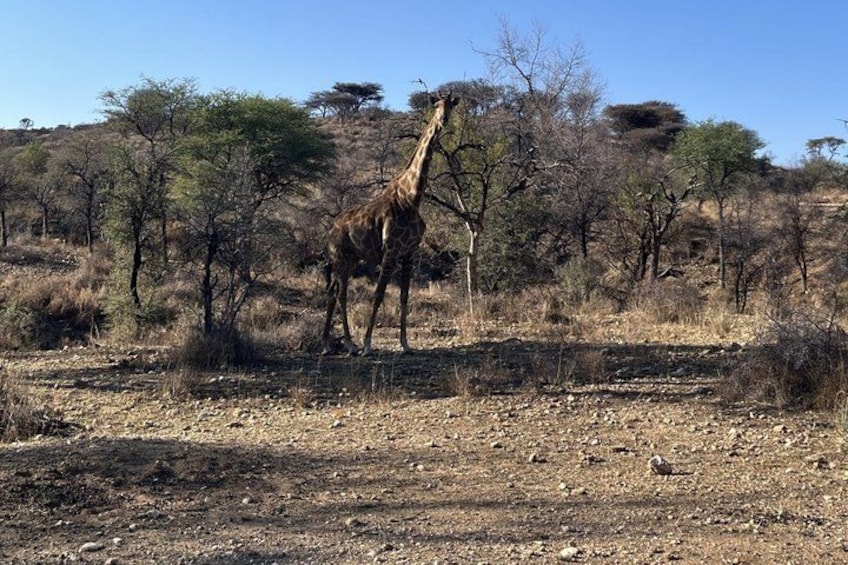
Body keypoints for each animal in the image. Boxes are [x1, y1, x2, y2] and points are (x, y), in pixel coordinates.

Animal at [322, 92, 459, 356]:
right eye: (436, 105)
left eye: (451, 106)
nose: (443, 120)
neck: (411, 199)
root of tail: (331, 228)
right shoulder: (391, 251)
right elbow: (378, 294)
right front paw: (367, 345)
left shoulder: (409, 253)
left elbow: (404, 296)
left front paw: (405, 343)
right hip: (340, 256)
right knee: (341, 293)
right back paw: (350, 345)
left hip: (352, 258)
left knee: (334, 292)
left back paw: (327, 343)